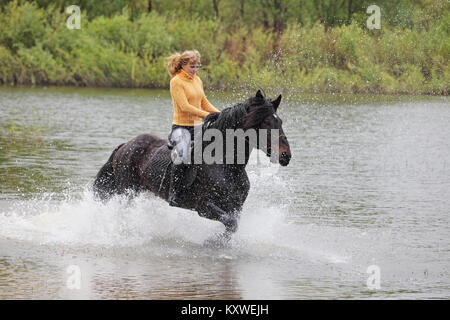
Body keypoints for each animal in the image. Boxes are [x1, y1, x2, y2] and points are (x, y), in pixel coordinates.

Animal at [93, 90, 294, 240]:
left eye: (280, 121)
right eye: (266, 122)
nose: (285, 155)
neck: (227, 166)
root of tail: (125, 145)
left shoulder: (235, 207)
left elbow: (233, 226)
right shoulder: (203, 206)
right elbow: (230, 222)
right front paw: (213, 241)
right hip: (126, 191)